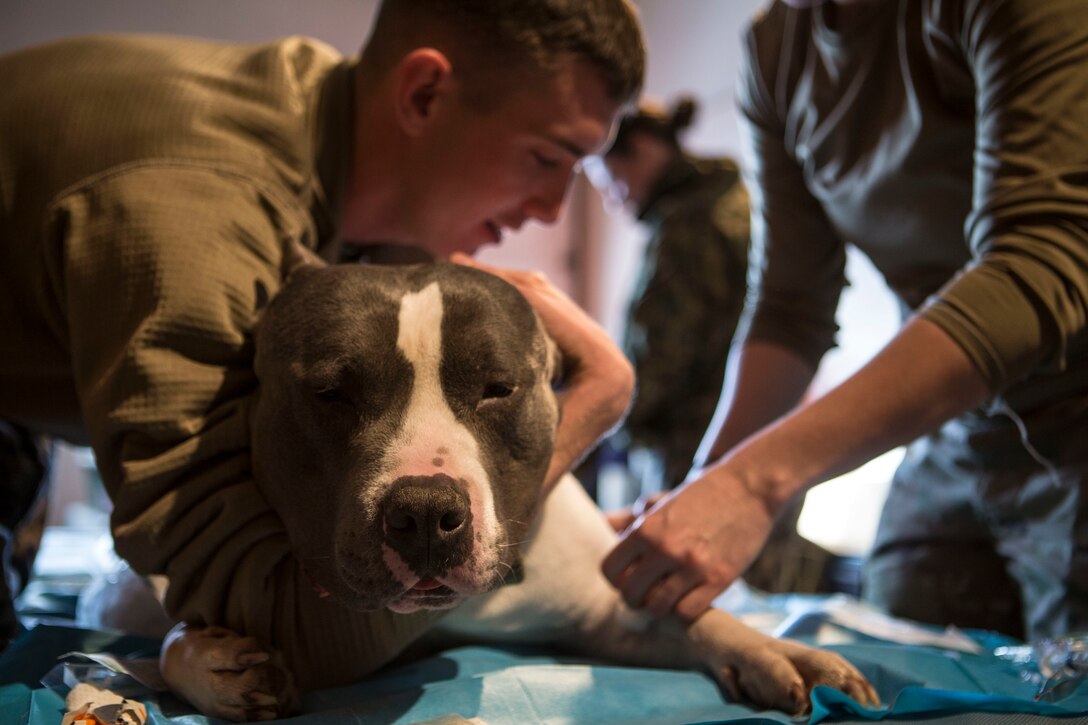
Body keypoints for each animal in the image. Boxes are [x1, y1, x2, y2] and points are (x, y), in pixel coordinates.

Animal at [155, 260, 874, 718]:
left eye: (498, 387)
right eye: (331, 392)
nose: (425, 513)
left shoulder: (598, 608)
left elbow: (685, 615)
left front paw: (784, 652)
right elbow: (163, 638)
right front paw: (209, 660)